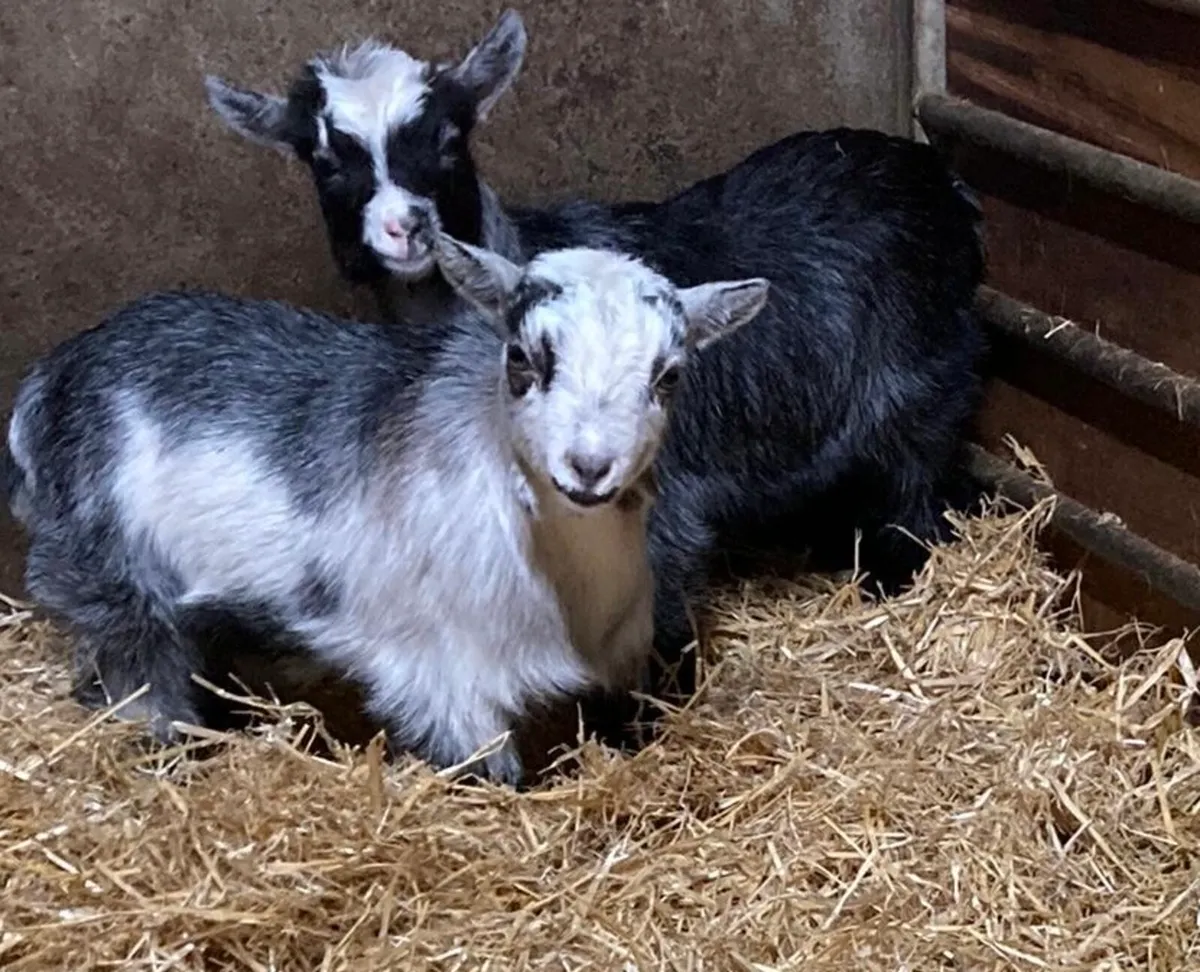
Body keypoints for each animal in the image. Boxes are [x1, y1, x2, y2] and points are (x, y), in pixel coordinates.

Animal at [5, 232, 769, 785]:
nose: (588, 467)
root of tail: (47, 384)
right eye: (523, 358)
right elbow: (490, 774)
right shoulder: (444, 679)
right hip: (115, 580)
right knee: (139, 682)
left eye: (668, 377)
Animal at [206, 9, 989, 700]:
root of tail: (940, 181)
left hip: (921, 390)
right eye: (324, 161)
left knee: (911, 492)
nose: (407, 227)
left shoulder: (660, 497)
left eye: (451, 139)